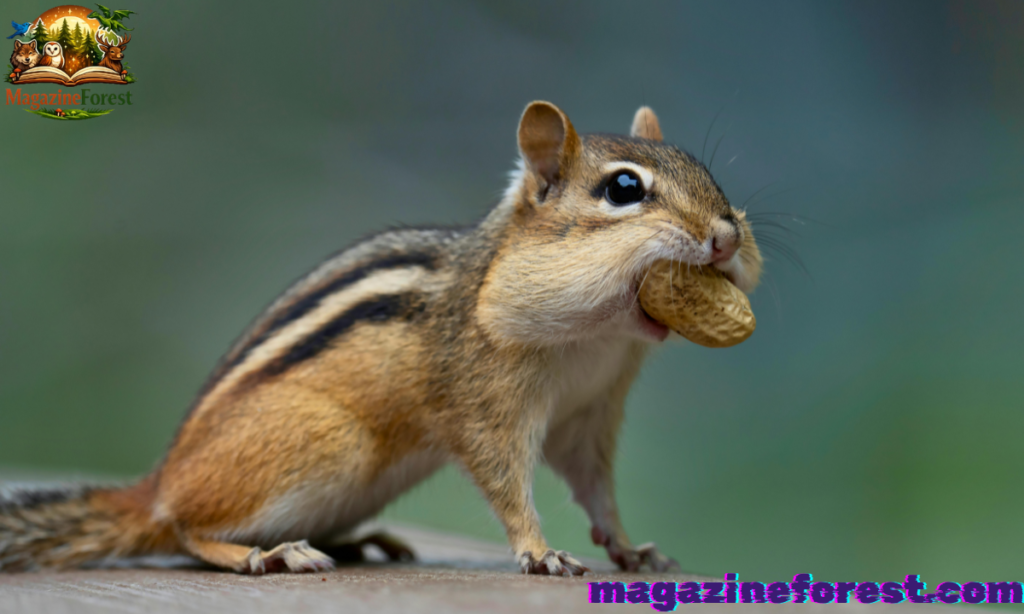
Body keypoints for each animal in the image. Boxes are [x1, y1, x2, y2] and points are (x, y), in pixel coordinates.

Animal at [0, 102, 761, 576]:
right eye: (624, 188)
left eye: (702, 169)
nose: (726, 235)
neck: (595, 340)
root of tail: (155, 481)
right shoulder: (483, 396)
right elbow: (503, 477)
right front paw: (540, 551)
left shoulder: (591, 411)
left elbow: (598, 491)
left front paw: (630, 551)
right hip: (331, 445)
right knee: (184, 529)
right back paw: (265, 554)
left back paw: (360, 543)